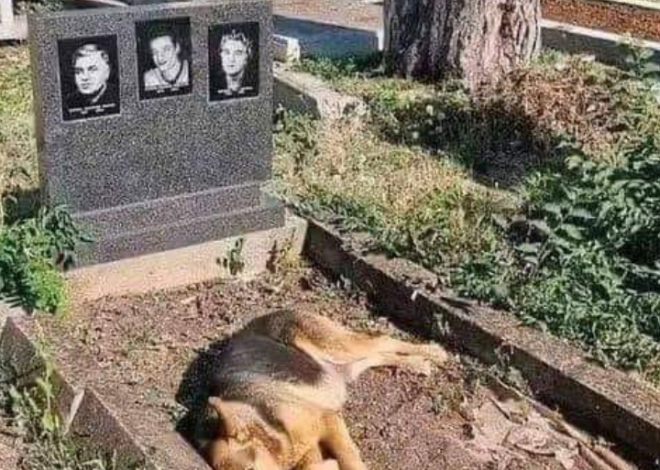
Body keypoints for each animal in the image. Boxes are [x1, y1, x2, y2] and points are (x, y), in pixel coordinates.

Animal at [192, 308, 448, 470]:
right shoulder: (308, 448)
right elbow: (316, 465)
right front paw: (329, 465)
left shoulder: (327, 419)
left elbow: (349, 459)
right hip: (345, 366)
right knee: (378, 355)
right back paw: (417, 364)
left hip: (340, 346)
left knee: (382, 340)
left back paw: (433, 352)